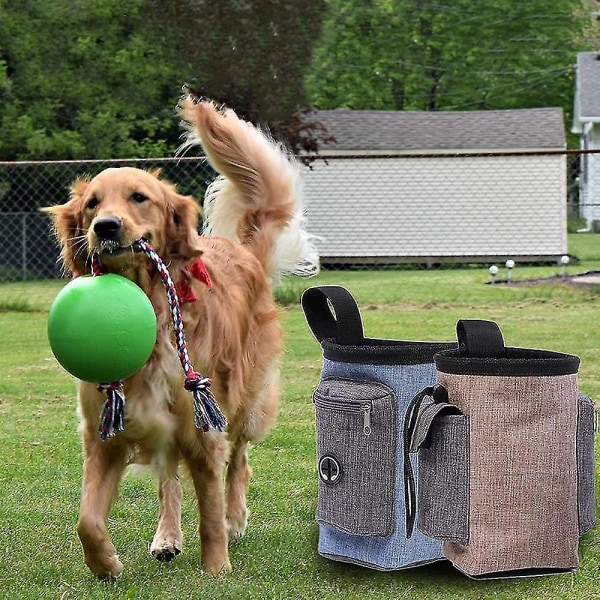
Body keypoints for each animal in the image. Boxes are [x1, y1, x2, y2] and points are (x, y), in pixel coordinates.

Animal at [43, 97, 318, 576]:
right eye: (92, 204)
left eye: (139, 197)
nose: (105, 226)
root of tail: (241, 249)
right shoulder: (104, 431)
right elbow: (87, 519)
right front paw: (106, 564)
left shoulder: (202, 424)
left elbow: (209, 505)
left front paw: (217, 567)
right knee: (168, 479)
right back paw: (167, 537)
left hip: (246, 400)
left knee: (239, 461)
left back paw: (234, 519)